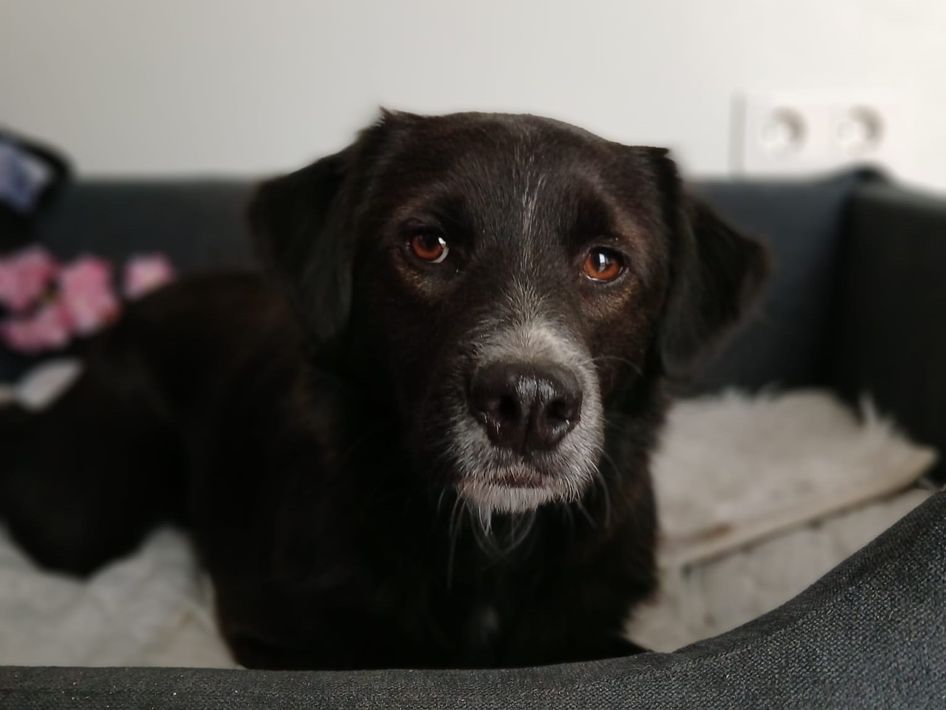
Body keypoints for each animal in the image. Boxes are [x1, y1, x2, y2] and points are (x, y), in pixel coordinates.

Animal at [0, 111, 767, 670]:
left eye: (605, 262)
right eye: (428, 245)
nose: (528, 405)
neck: (489, 538)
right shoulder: (275, 633)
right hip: (80, 512)